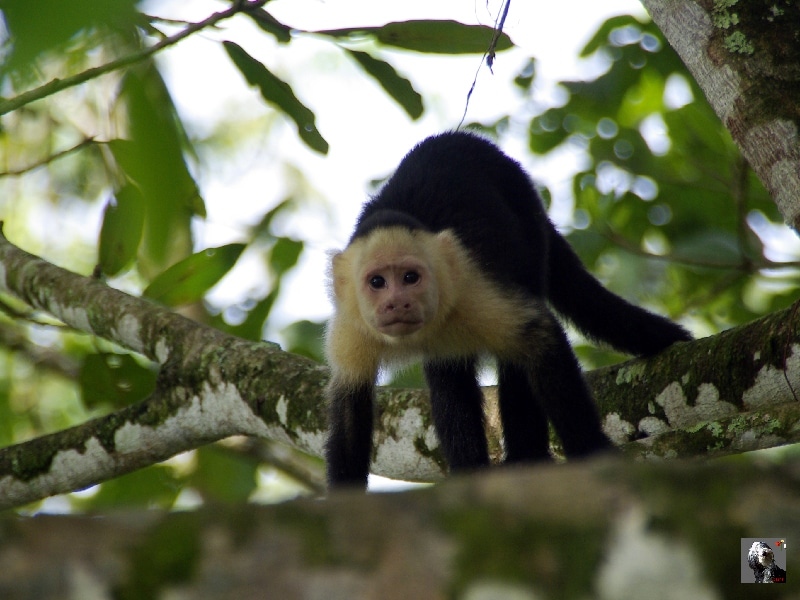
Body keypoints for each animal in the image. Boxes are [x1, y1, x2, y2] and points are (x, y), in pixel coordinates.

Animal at [325, 131, 691, 488]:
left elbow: (540, 337)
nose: (397, 302)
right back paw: (469, 471)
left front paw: (593, 453)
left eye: (410, 277)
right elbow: (350, 408)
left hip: (526, 213)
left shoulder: (471, 287)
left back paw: (527, 457)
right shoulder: (350, 324)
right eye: (377, 282)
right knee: (448, 370)